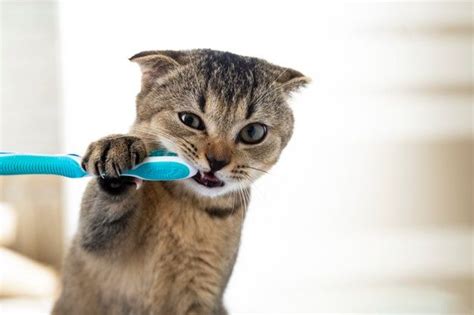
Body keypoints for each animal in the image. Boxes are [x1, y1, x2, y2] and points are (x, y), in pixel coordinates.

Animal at [52, 49, 308, 315]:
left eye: (253, 132)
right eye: (190, 120)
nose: (217, 161)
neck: (188, 205)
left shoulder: (204, 291)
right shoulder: (94, 243)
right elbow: (101, 220)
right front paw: (117, 149)